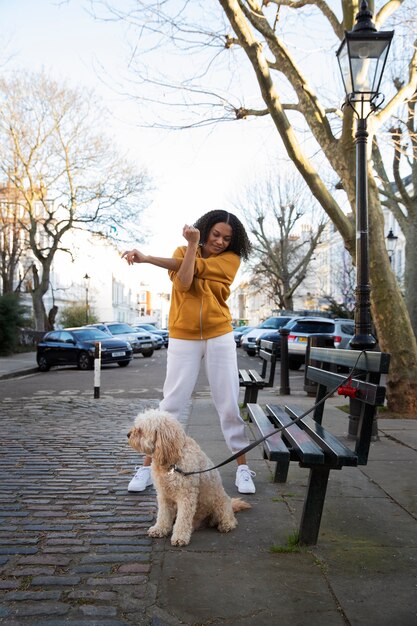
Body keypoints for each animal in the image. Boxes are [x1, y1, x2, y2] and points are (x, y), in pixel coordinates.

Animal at [127, 408, 250, 544]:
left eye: (140, 430)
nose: (128, 434)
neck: (172, 462)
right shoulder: (164, 495)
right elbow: (163, 515)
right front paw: (159, 529)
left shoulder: (186, 496)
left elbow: (183, 519)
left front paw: (180, 537)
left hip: (220, 503)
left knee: (229, 518)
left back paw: (226, 525)